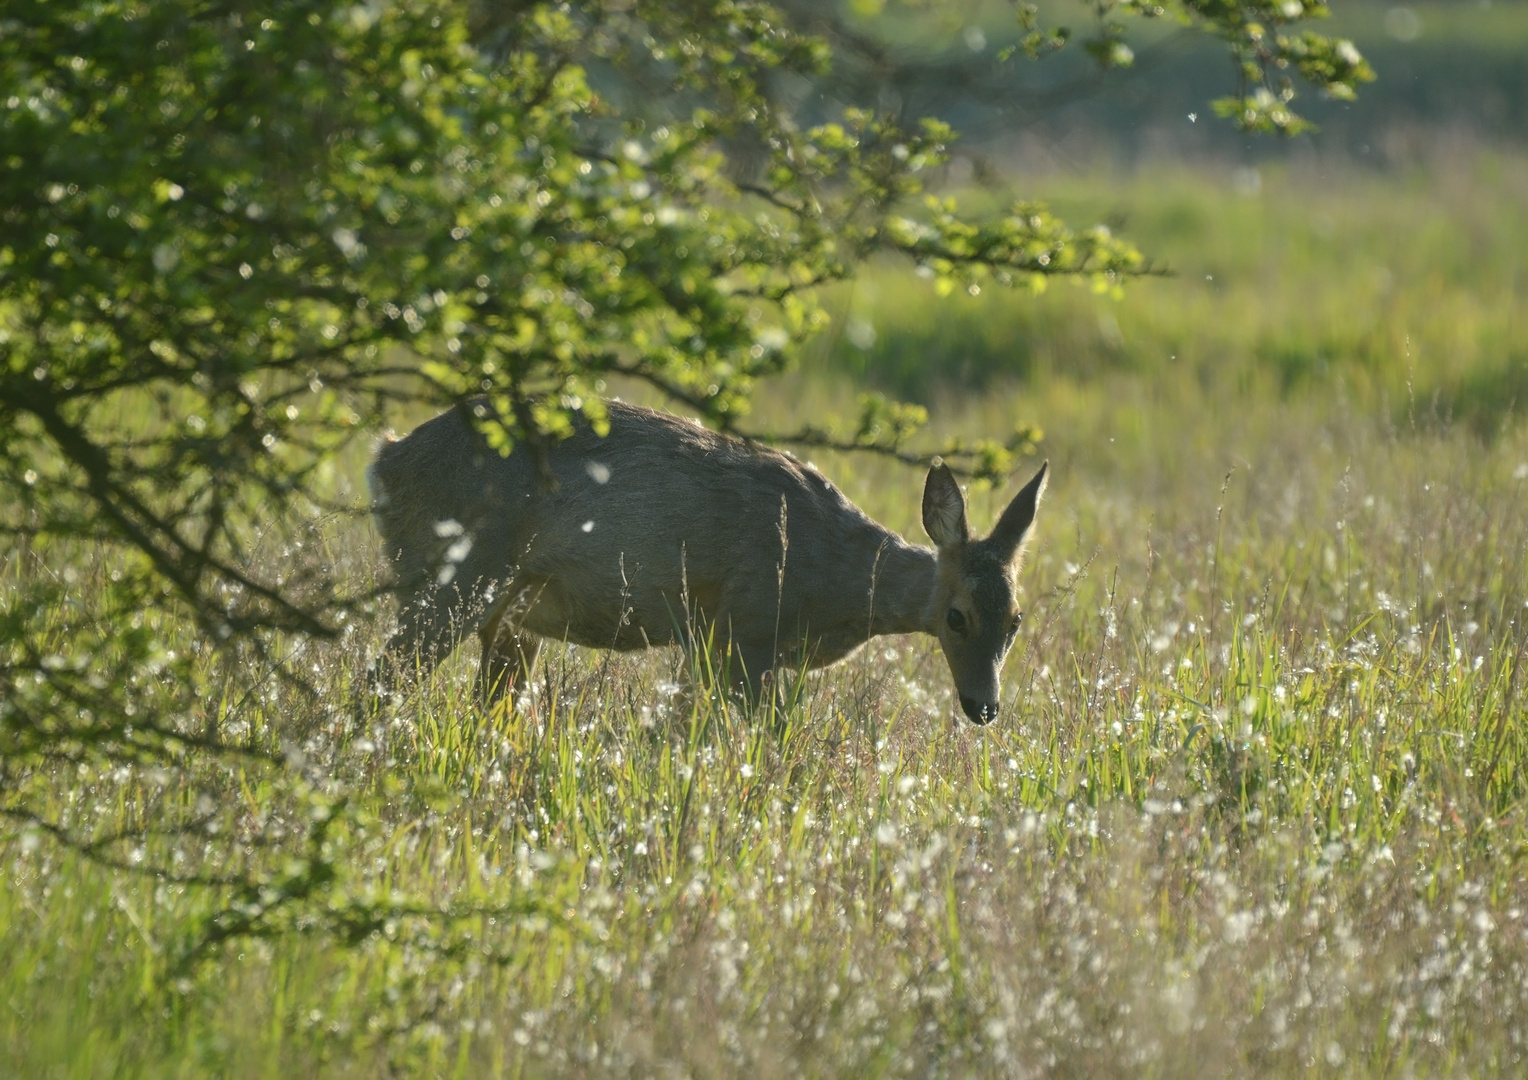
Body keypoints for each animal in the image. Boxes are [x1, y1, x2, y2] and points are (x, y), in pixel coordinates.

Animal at [363, 400, 1045, 727]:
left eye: (1016, 619)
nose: (984, 707)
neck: (837, 584)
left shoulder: (713, 645)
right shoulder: (741, 631)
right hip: (453, 578)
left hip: (509, 613)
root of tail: (385, 461)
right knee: (377, 683)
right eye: (956, 616)